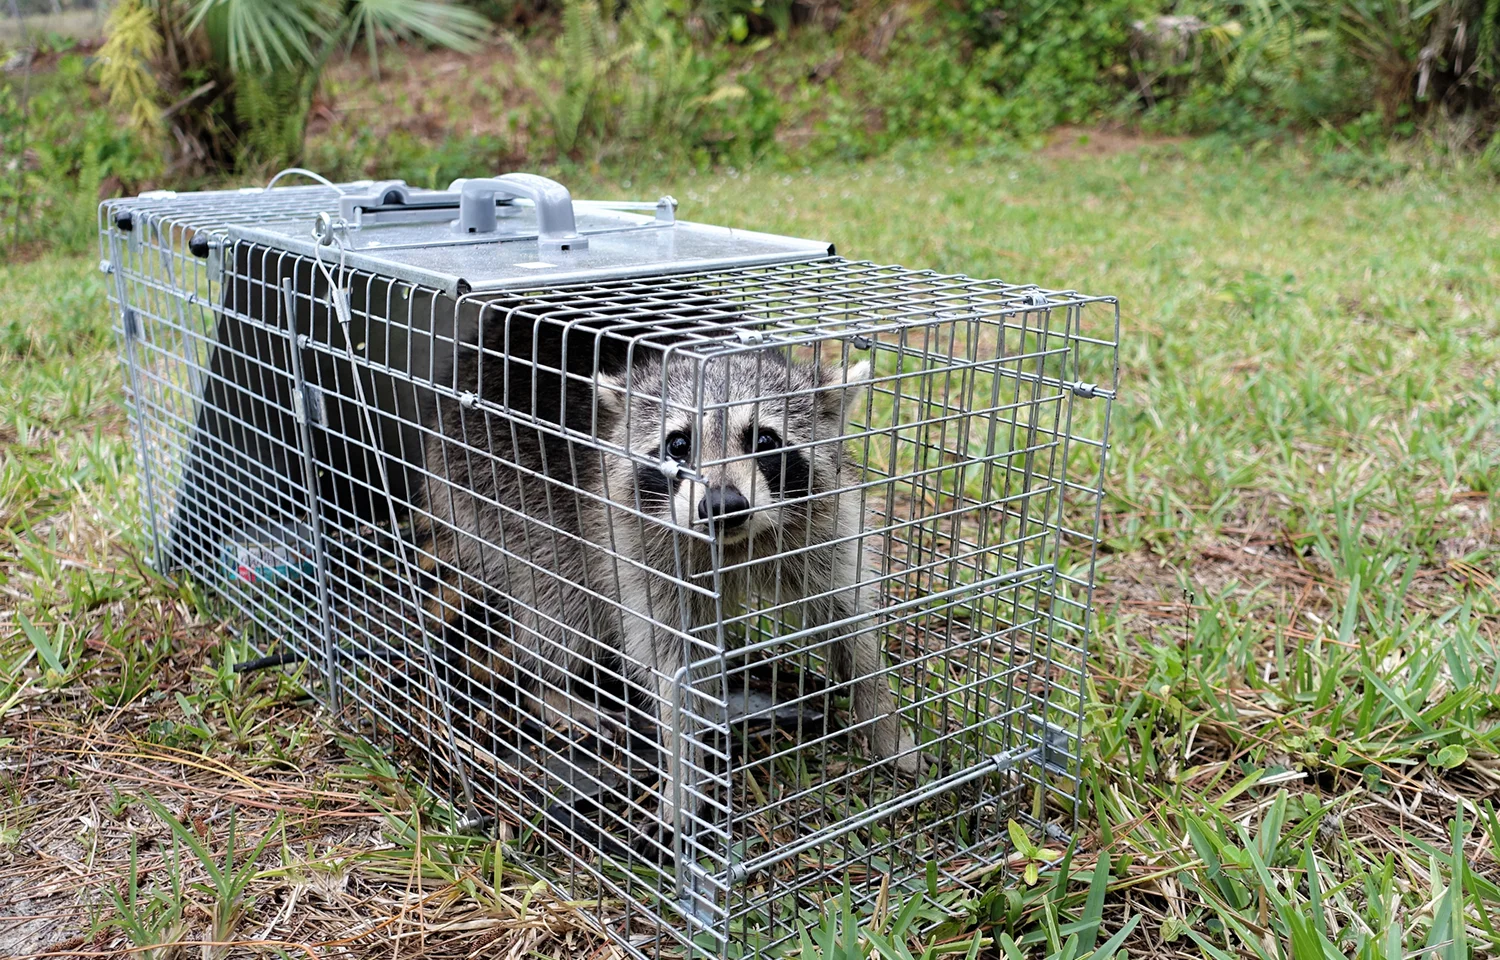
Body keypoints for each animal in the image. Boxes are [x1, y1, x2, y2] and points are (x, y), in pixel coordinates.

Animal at [420, 340, 920, 825]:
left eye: (764, 439)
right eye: (678, 444)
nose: (722, 506)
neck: (733, 547)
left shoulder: (821, 529)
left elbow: (848, 618)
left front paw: (884, 722)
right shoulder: (637, 548)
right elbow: (670, 663)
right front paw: (684, 777)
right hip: (499, 492)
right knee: (561, 604)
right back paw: (548, 686)